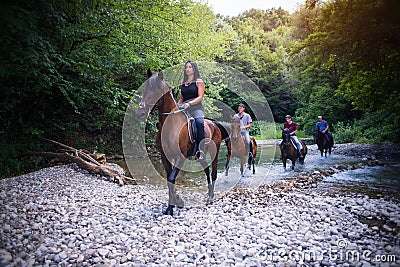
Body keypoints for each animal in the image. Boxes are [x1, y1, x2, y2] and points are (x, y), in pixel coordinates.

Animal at [134, 70, 228, 216]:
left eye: (157, 90)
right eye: (145, 89)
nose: (140, 113)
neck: (170, 124)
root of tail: (214, 124)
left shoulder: (180, 156)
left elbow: (172, 178)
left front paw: (170, 207)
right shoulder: (165, 157)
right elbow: (169, 179)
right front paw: (177, 201)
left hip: (215, 153)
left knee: (213, 173)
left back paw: (211, 199)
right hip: (201, 156)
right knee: (207, 171)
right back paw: (208, 196)